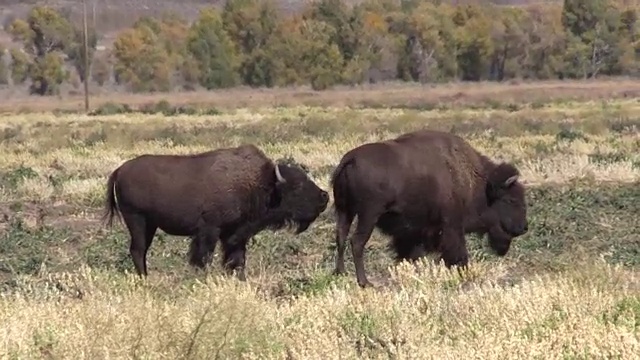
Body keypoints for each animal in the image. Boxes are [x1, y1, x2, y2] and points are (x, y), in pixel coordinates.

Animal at [104, 143, 330, 278]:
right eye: (297, 186)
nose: (325, 196)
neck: (262, 184)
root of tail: (119, 170)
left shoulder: (236, 235)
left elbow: (236, 258)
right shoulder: (209, 231)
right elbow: (203, 257)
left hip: (149, 225)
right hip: (137, 220)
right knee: (138, 249)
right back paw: (144, 277)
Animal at [330, 129, 528, 286]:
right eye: (511, 200)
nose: (524, 227)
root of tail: (350, 159)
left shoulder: (416, 232)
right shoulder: (451, 225)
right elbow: (457, 250)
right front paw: (462, 270)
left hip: (344, 211)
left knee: (340, 237)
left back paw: (340, 273)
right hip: (368, 215)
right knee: (356, 242)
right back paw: (364, 282)